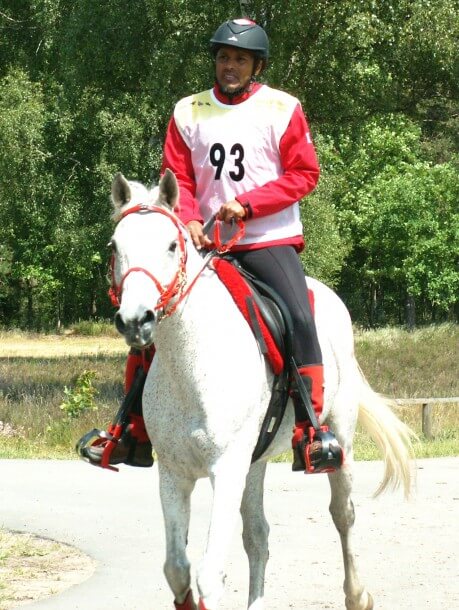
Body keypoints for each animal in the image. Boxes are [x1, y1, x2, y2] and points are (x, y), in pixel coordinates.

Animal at [109, 167, 416, 608]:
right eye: (115, 246)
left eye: (170, 245)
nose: (136, 320)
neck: (191, 361)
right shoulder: (174, 472)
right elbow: (177, 570)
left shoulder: (225, 468)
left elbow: (209, 574)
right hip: (253, 463)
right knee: (257, 536)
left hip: (339, 437)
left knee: (343, 514)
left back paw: (358, 595)